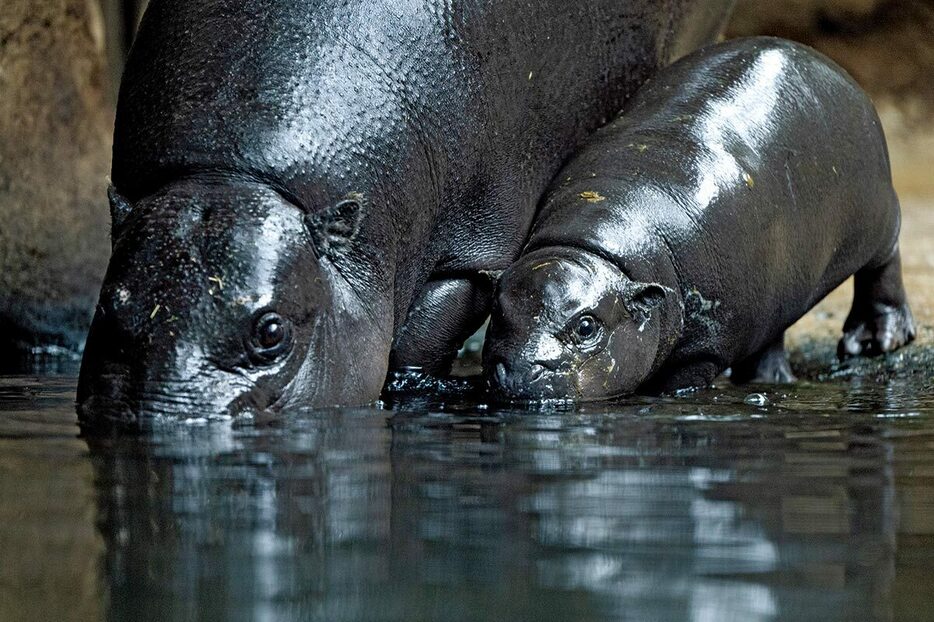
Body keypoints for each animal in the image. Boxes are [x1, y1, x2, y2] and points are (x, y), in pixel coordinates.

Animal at [77, 0, 736, 426]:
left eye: (272, 332)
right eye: (108, 308)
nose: (151, 423)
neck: (233, 176)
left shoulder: (467, 254)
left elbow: (420, 337)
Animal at [486, 36, 916, 402]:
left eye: (587, 326)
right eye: (497, 309)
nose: (518, 370)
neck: (591, 250)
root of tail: (829, 64)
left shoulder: (704, 351)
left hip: (878, 216)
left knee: (884, 263)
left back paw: (873, 341)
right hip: (781, 284)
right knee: (773, 333)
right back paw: (769, 379)